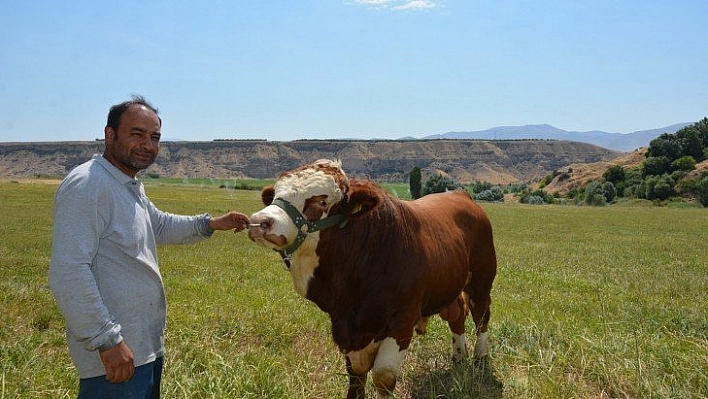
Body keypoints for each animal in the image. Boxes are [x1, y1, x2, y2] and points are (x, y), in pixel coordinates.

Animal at [249, 160, 498, 399]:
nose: (259, 221)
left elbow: (384, 377)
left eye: (321, 201)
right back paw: (459, 355)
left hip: (481, 281)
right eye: (276, 195)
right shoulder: (346, 328)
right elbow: (356, 376)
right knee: (457, 314)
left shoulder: (402, 320)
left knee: (481, 315)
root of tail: (461, 195)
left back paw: (480, 357)